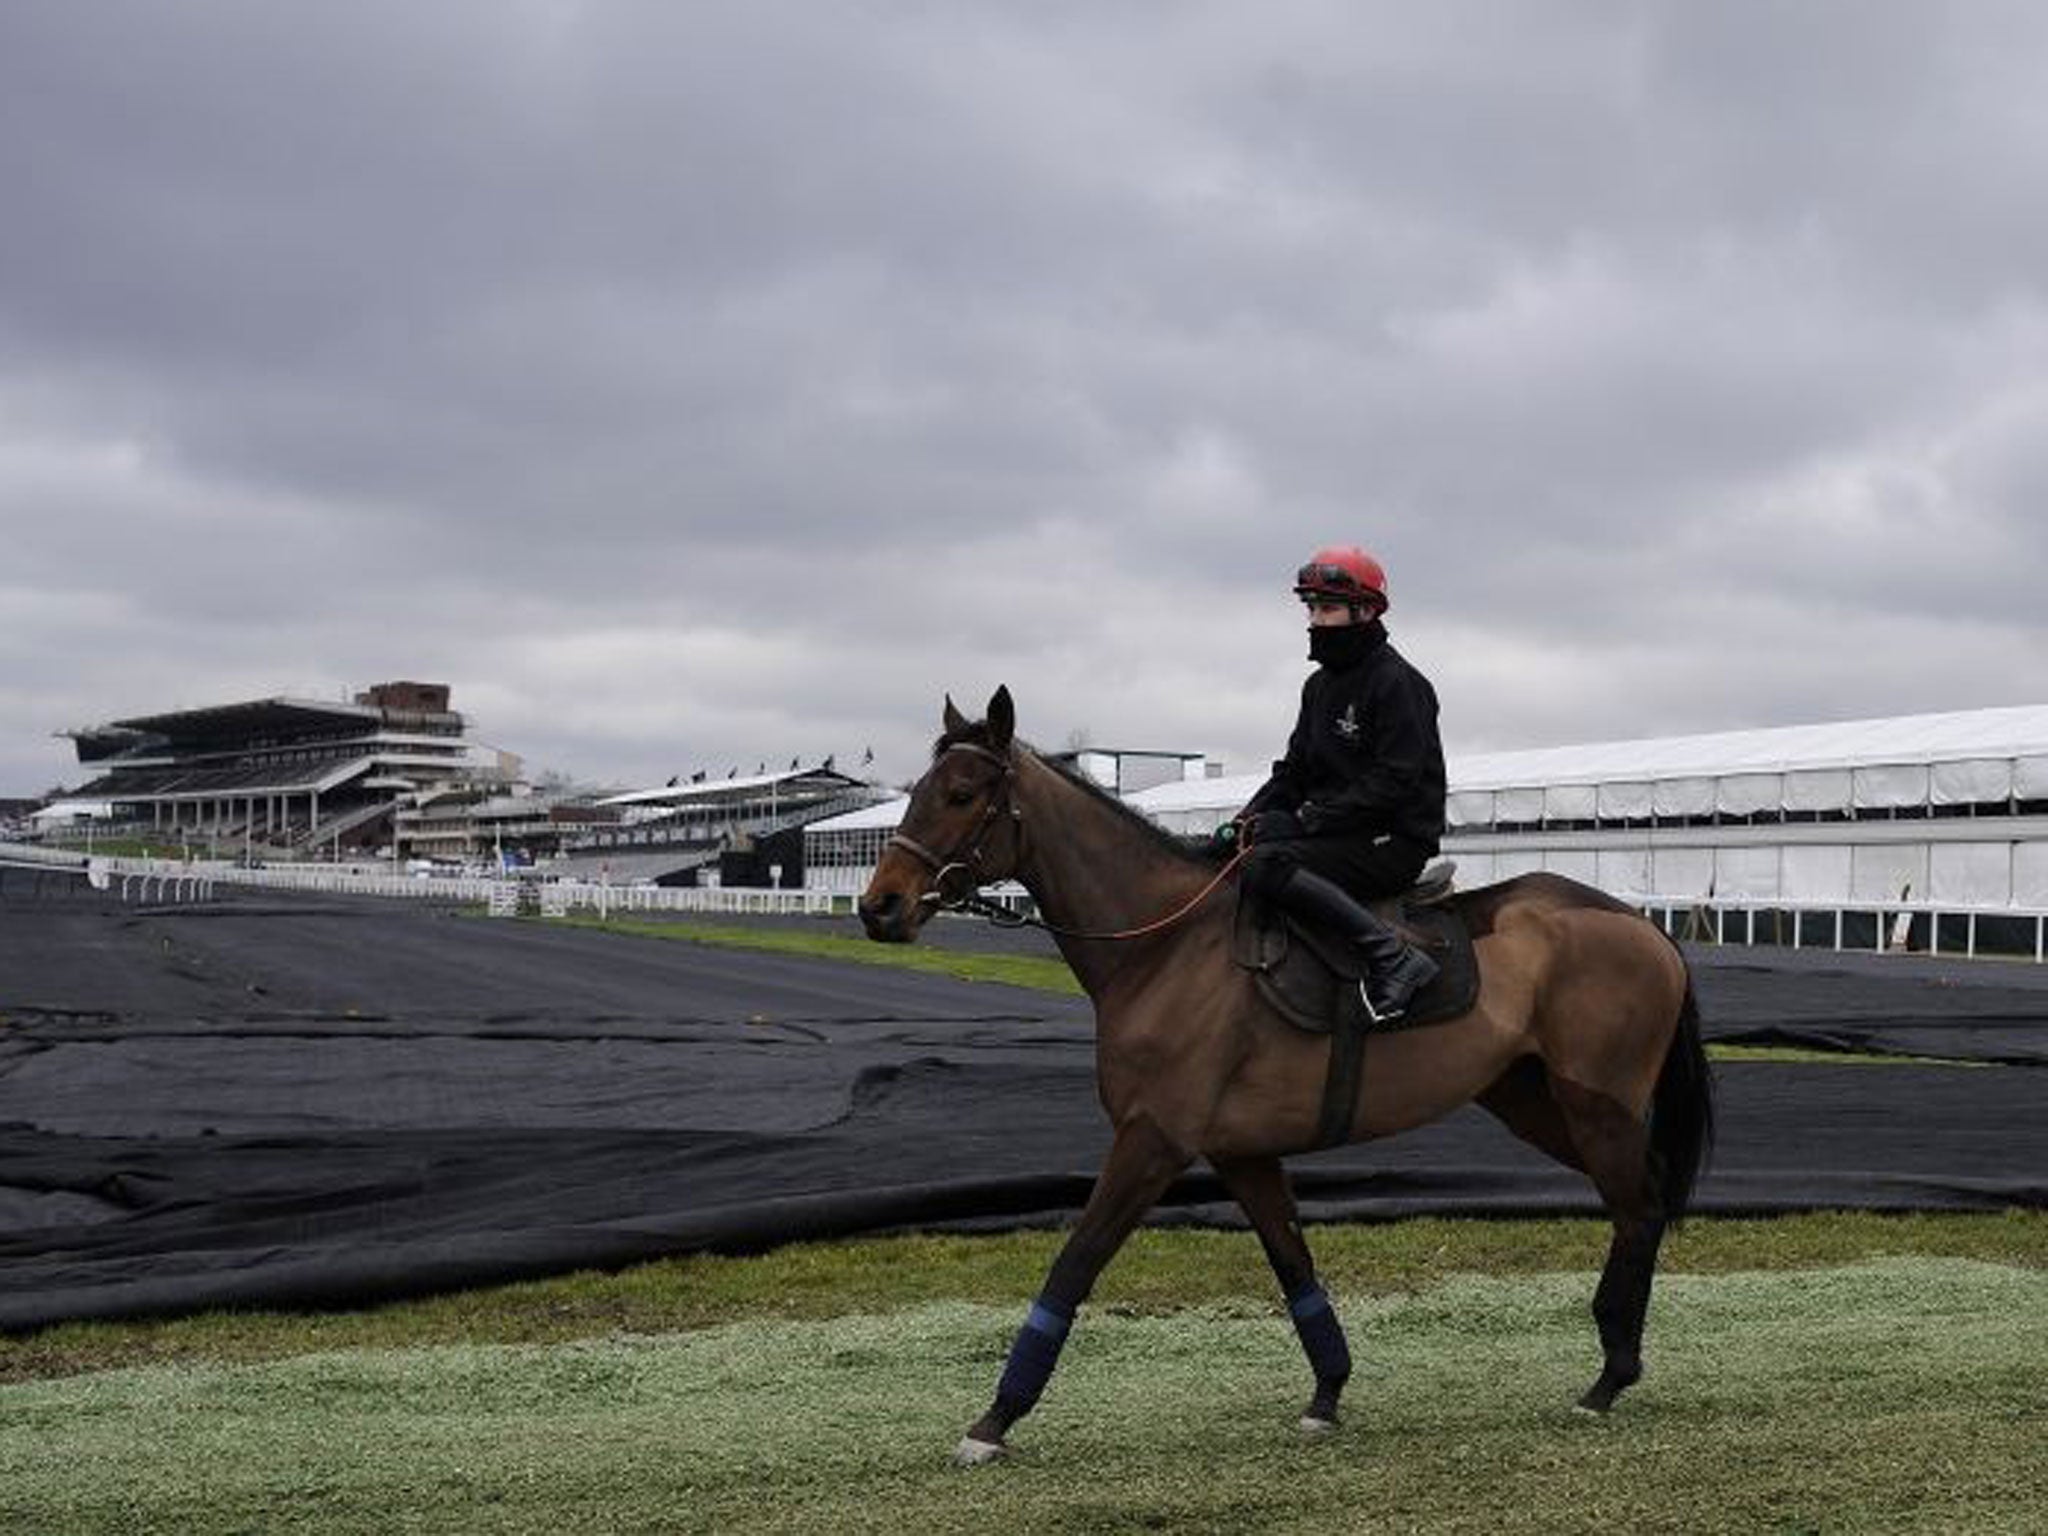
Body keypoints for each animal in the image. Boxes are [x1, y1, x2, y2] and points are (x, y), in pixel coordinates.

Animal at [860, 684, 1712, 1466]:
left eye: (961, 795)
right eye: (919, 791)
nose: (880, 906)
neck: (1164, 949)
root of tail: (1641, 927)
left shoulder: (1152, 1142)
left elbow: (1075, 1263)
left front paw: (997, 1416)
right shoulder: (1242, 1153)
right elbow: (1292, 1259)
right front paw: (1328, 1391)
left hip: (1595, 1105)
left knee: (1638, 1208)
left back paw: (1611, 1373)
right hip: (1537, 1102)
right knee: (1639, 1200)